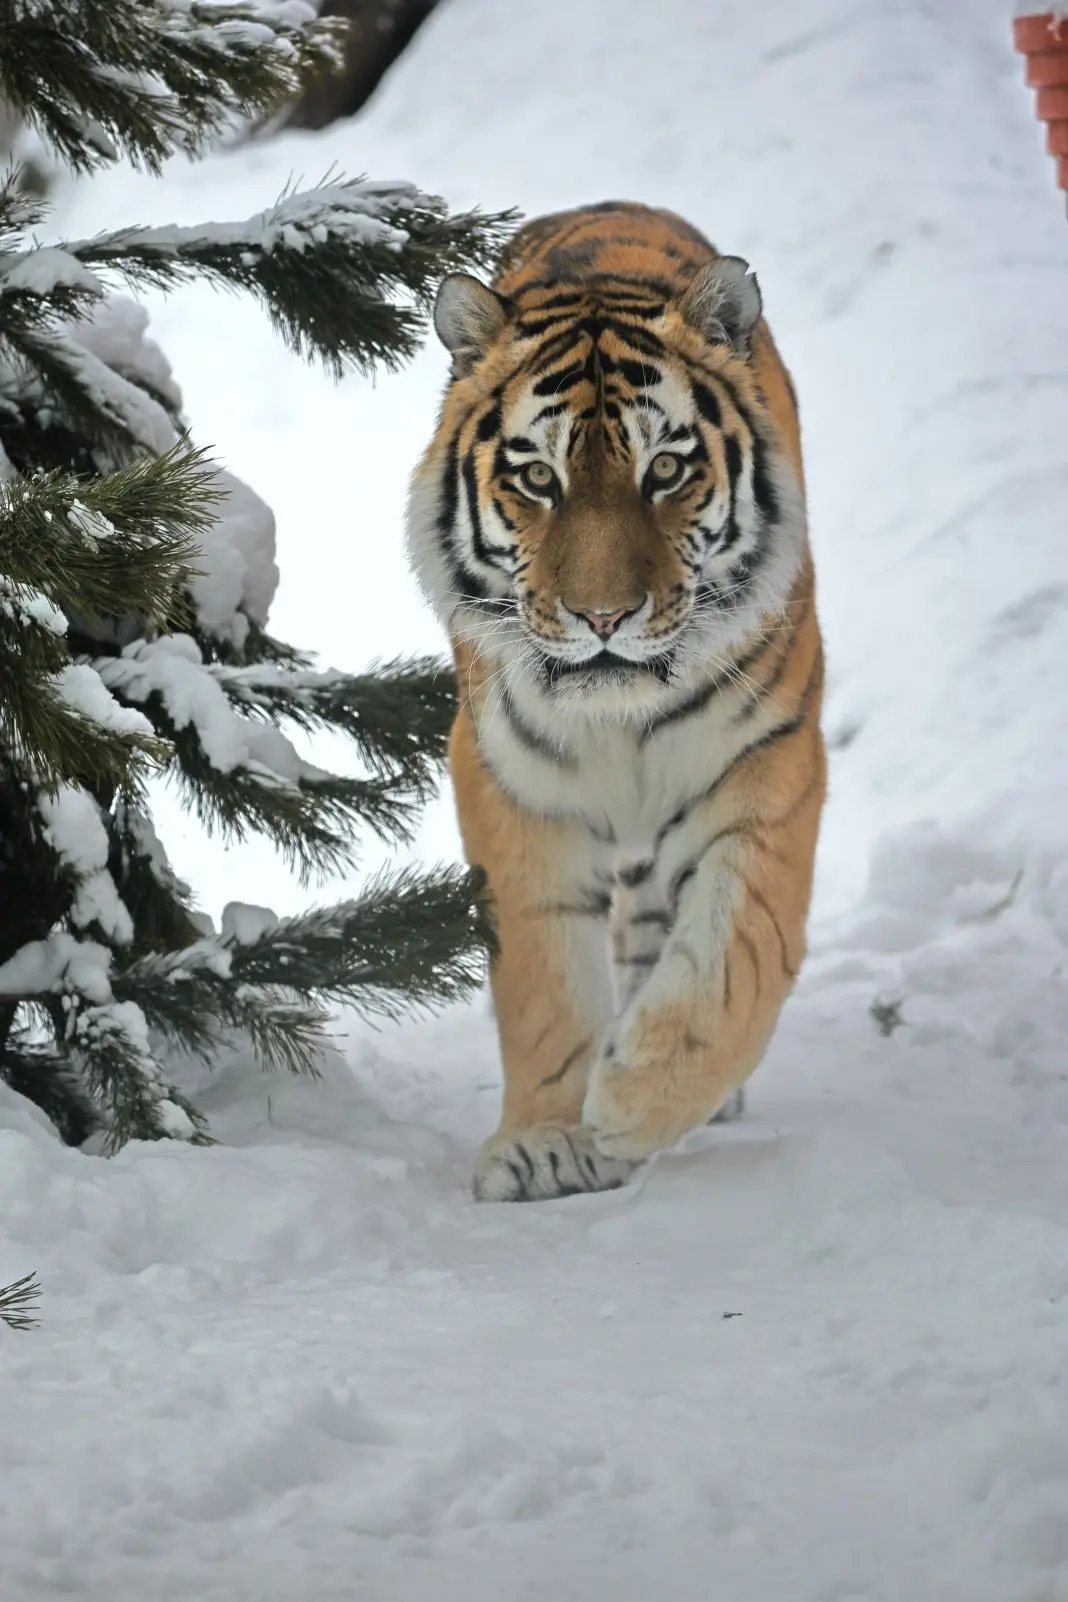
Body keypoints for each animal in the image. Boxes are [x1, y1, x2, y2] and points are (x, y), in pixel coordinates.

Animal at [406, 201, 825, 1202]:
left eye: (665, 471)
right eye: (537, 478)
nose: (603, 616)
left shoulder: (772, 758)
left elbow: (738, 951)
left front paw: (638, 1096)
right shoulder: (512, 784)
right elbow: (544, 982)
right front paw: (549, 1141)